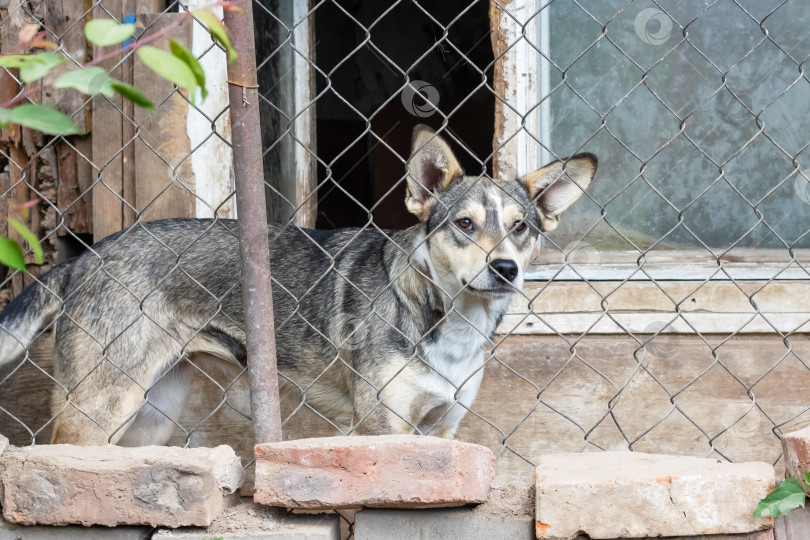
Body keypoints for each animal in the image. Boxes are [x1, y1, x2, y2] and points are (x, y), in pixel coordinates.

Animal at [0, 125, 592, 442]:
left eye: (521, 228)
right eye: (464, 225)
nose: (506, 270)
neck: (446, 319)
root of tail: (89, 255)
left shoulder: (442, 430)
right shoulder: (383, 428)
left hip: (151, 415)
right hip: (98, 409)